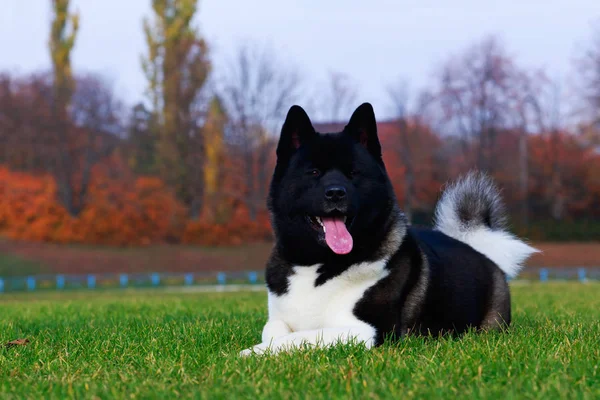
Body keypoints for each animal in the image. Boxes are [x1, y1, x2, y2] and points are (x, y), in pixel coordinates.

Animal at [239, 103, 540, 356]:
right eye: (313, 172)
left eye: (353, 173)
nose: (335, 193)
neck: (318, 265)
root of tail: (479, 249)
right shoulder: (279, 317)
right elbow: (274, 331)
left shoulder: (369, 331)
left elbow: (301, 337)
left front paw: (252, 352)